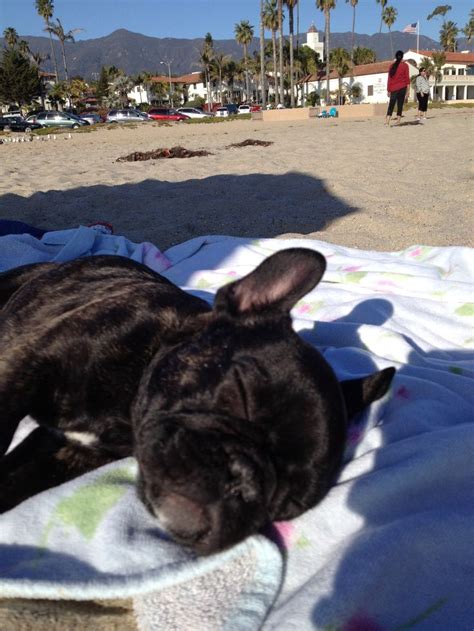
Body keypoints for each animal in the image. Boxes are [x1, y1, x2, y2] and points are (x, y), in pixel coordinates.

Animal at [0, 249, 392, 556]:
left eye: (285, 504)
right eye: (242, 393)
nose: (245, 482)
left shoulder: (72, 452)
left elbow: (23, 480)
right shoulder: (22, 368)